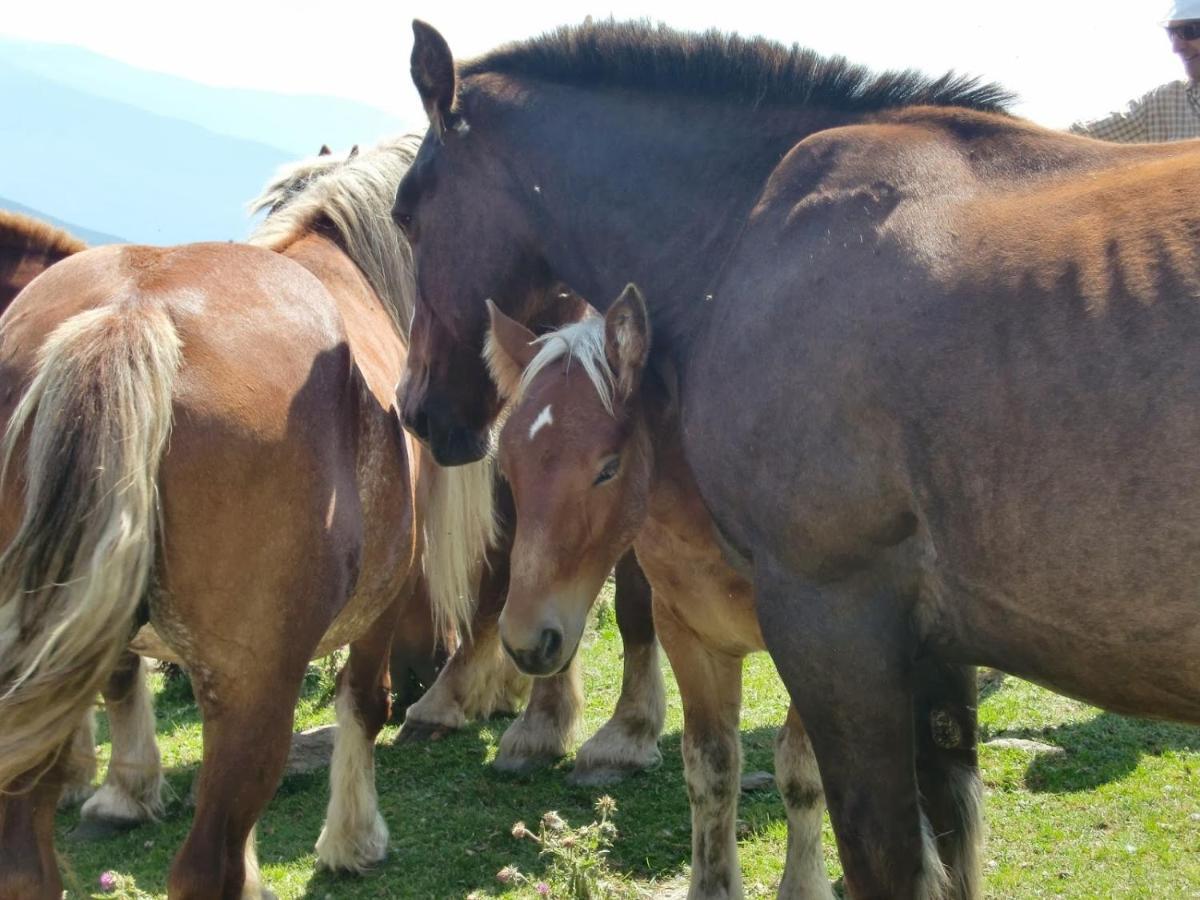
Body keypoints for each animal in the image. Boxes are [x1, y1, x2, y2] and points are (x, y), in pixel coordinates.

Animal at [0, 137, 492, 900]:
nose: (433, 665)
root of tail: (130, 316)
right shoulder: (380, 606)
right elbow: (363, 703)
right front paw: (353, 839)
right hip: (253, 690)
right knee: (206, 866)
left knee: (27, 864)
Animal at [487, 290, 984, 900]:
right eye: (508, 465)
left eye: (608, 468)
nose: (526, 639)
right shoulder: (690, 636)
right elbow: (711, 770)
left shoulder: (826, 645)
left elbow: (803, 770)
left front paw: (804, 886)